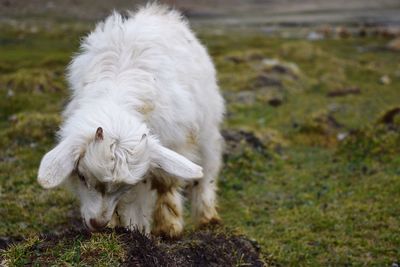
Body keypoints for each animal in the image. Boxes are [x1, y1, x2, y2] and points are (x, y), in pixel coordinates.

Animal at [37, 3, 225, 239]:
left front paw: (160, 228)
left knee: (205, 173)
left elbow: (162, 186)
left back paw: (207, 218)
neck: (116, 92)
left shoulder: (172, 143)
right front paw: (118, 227)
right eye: (82, 176)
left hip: (207, 129)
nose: (98, 223)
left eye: (124, 186)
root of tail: (157, 11)